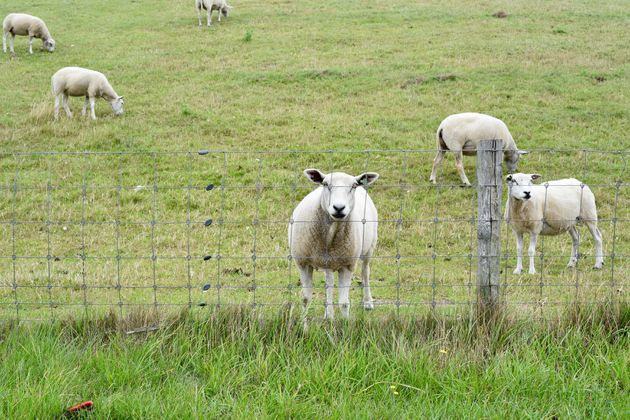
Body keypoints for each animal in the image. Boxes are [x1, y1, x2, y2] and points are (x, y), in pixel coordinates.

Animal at [290, 169, 380, 324]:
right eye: (326, 184)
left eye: (353, 186)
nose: (339, 208)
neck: (330, 236)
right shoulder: (303, 264)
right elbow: (306, 299)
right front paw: (303, 326)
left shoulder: (348, 265)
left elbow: (344, 302)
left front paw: (345, 326)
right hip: (329, 261)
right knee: (329, 282)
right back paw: (328, 314)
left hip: (370, 247)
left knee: (365, 272)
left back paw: (368, 302)